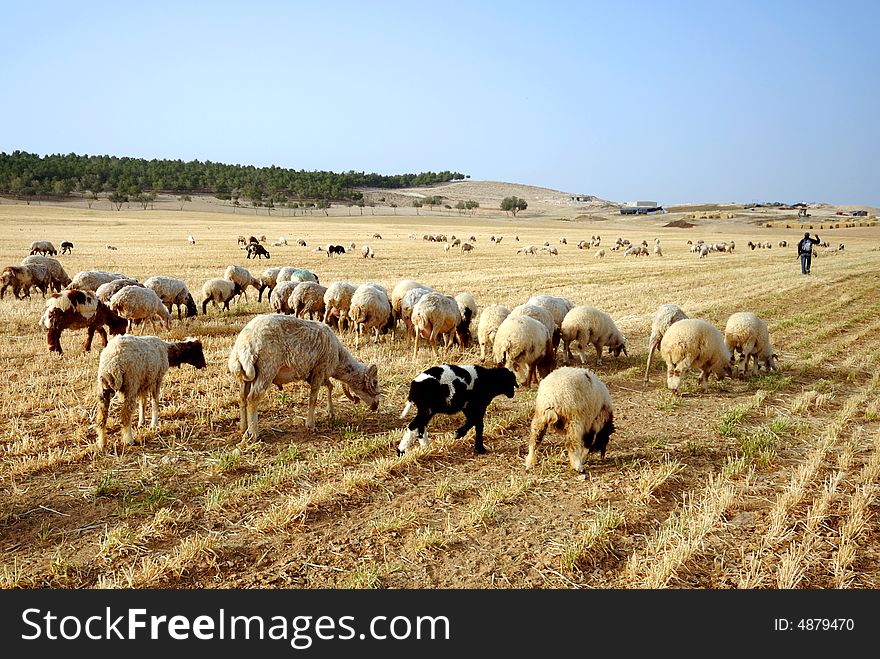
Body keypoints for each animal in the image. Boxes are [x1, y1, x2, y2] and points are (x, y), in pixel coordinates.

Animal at [229, 314, 380, 438]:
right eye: (375, 382)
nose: (376, 406)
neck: (339, 358)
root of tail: (244, 345)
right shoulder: (320, 369)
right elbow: (313, 398)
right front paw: (311, 425)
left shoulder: (314, 373)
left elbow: (330, 386)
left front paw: (330, 412)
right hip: (267, 369)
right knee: (253, 398)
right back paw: (253, 433)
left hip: (244, 375)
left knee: (242, 397)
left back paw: (243, 427)